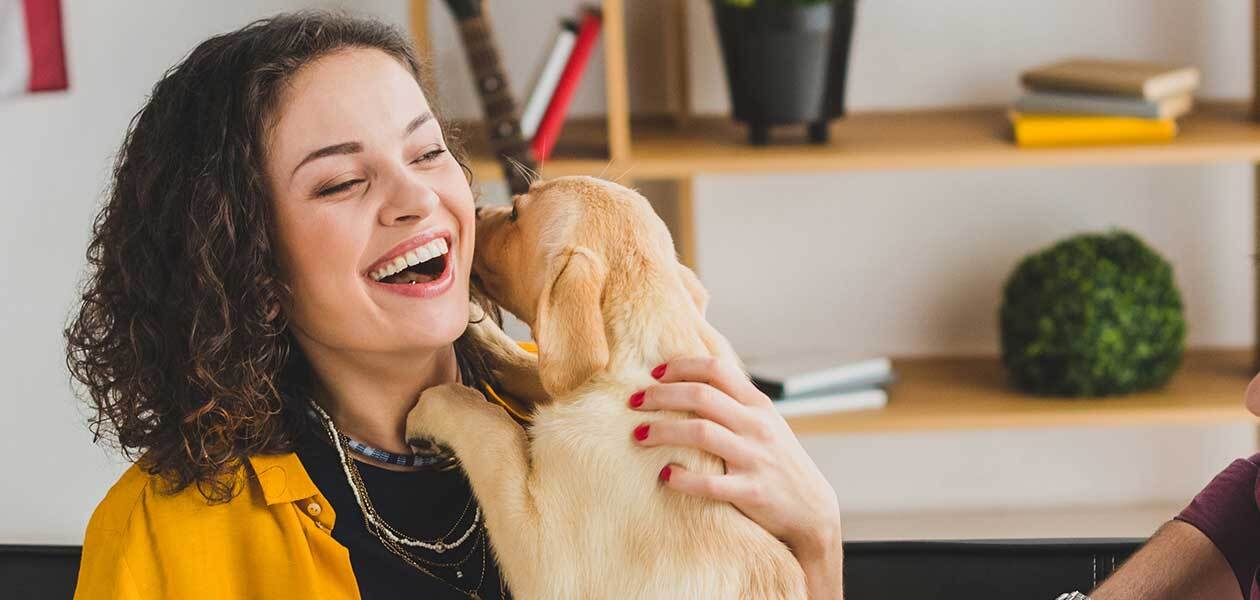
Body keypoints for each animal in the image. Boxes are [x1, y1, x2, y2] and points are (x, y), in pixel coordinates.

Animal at [410, 175, 806, 597]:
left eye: (515, 212)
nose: (477, 209)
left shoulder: (547, 559)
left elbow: (493, 429)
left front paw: (436, 403)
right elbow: (533, 367)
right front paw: (475, 325)